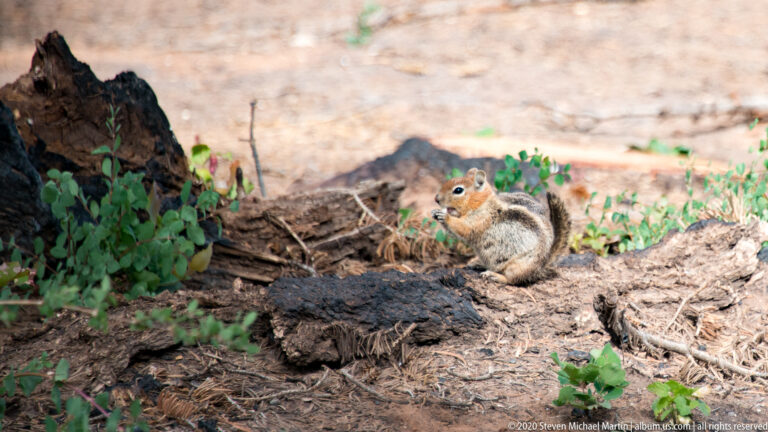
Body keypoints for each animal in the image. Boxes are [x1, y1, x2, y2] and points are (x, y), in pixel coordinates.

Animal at [431, 167, 571, 285]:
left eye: (458, 190)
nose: (436, 199)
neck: (482, 203)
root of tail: (542, 265)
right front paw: (435, 213)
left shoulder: (480, 220)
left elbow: (463, 228)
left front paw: (445, 217)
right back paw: (477, 263)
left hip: (518, 266)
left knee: (512, 280)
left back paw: (494, 275)